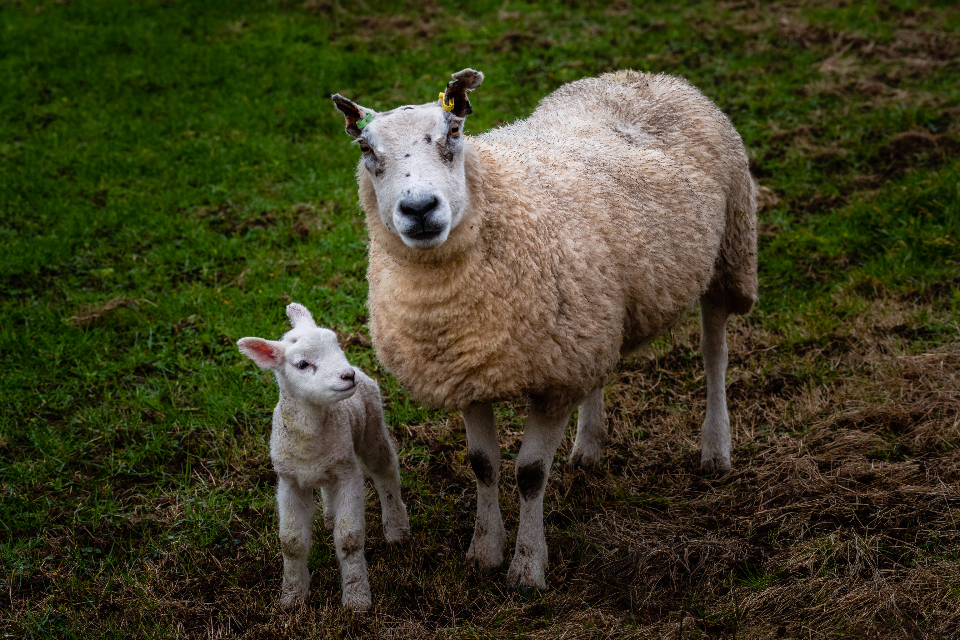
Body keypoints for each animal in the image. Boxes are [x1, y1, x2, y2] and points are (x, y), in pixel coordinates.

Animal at [237, 302, 410, 611]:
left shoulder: (349, 474)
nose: (347, 375)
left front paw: (356, 598)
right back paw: (330, 517)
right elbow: (291, 543)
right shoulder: (290, 481)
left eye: (336, 344)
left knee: (385, 470)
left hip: (370, 425)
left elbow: (350, 539)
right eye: (302, 365)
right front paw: (292, 597)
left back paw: (397, 528)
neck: (309, 442)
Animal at [330, 68, 757, 591]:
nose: (419, 209)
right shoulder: (471, 368)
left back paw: (716, 449)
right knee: (601, 370)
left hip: (730, 250)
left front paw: (527, 569)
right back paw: (589, 447)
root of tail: (643, 76)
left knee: (714, 353)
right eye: (366, 149)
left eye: (453, 132)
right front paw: (484, 551)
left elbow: (530, 474)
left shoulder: (554, 381)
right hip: (594, 315)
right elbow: (483, 464)